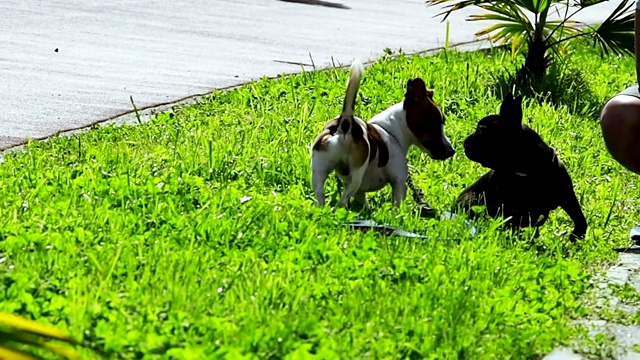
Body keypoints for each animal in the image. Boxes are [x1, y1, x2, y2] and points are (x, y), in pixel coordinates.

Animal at [312, 59, 456, 208]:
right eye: (436, 123)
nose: (452, 151)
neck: (392, 131)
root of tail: (346, 123)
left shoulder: (360, 192)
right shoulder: (399, 182)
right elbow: (397, 203)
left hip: (319, 172)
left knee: (321, 195)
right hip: (356, 175)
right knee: (343, 200)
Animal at [456, 92, 584, 242]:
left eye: (482, 131)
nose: (465, 143)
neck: (526, 169)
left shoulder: (566, 193)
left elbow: (577, 213)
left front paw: (578, 233)